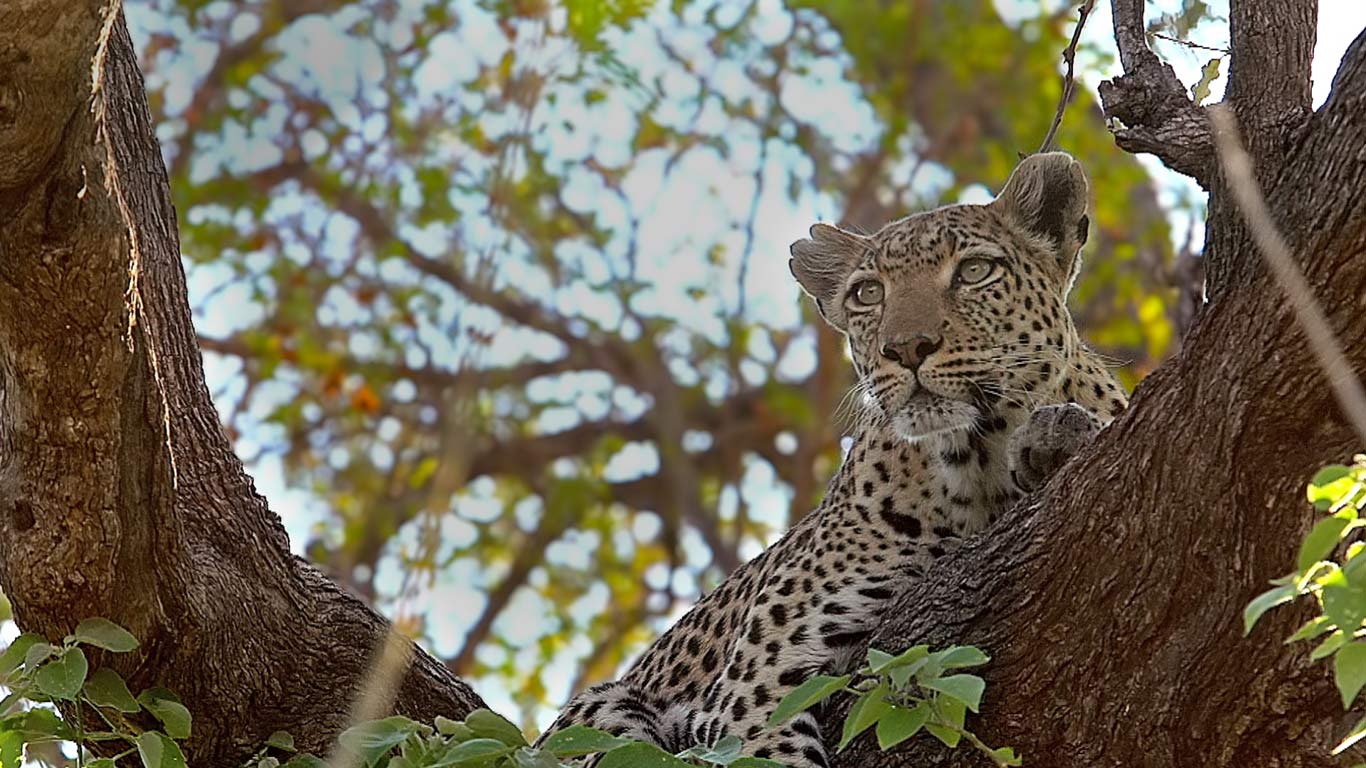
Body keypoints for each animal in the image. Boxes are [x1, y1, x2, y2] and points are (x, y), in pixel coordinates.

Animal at [535, 152, 1129, 767]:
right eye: (867, 294)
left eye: (973, 271)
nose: (906, 347)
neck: (976, 460)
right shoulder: (759, 673)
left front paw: (1054, 436)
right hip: (601, 708)